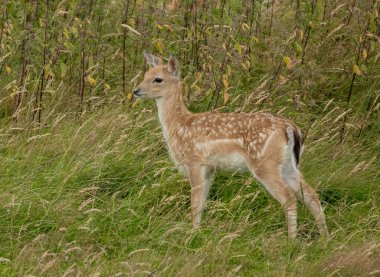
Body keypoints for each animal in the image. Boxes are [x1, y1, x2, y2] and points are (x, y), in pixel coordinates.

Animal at [132, 51, 328, 237]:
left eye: (158, 79)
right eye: (146, 74)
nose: (136, 90)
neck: (179, 125)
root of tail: (289, 127)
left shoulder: (194, 161)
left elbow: (195, 202)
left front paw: (192, 233)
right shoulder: (210, 168)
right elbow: (202, 202)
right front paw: (198, 230)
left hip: (265, 163)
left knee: (289, 198)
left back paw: (291, 239)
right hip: (288, 165)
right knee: (311, 194)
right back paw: (324, 237)